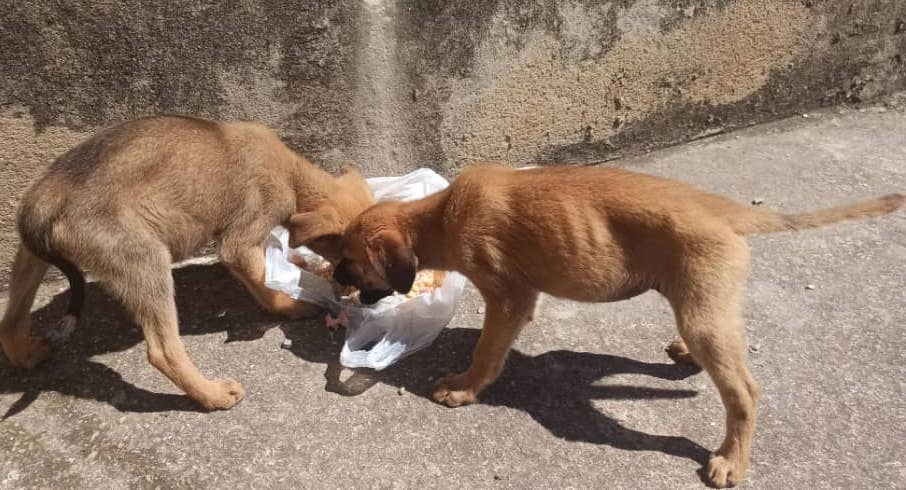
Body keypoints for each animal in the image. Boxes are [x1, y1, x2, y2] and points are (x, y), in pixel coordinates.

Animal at [0, 115, 372, 410]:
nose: (356, 293)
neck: (292, 172)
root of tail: (46, 198)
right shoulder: (239, 242)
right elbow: (262, 281)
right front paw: (291, 306)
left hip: (30, 257)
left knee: (10, 321)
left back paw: (28, 353)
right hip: (144, 259)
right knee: (163, 350)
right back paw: (212, 395)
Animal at [328, 164, 900, 486]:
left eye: (350, 262)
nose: (333, 279)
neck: (440, 216)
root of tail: (720, 210)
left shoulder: (509, 298)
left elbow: (488, 350)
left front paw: (465, 387)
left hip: (703, 315)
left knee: (744, 391)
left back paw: (730, 460)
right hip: (701, 301)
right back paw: (685, 355)